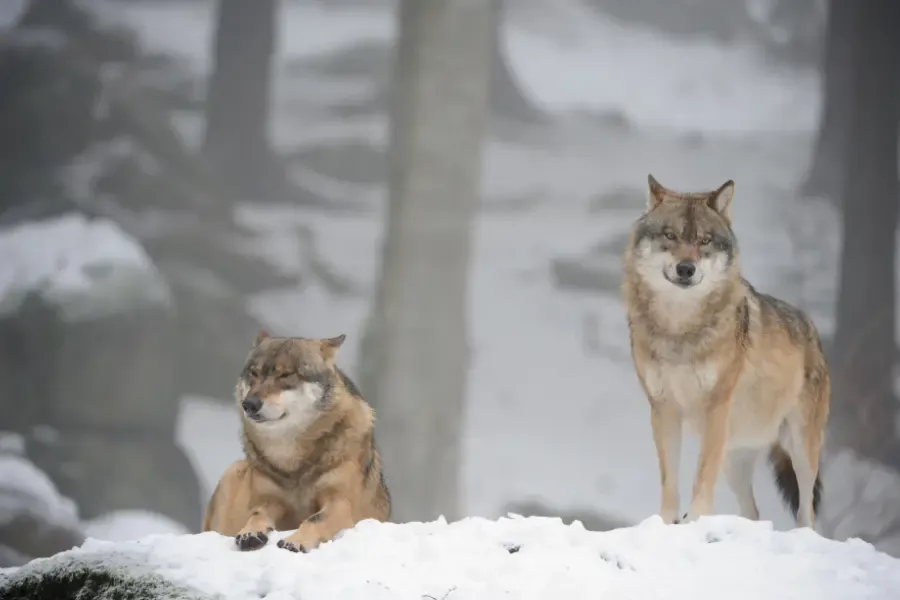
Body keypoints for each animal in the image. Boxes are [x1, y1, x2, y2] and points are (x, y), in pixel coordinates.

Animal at [202, 331, 391, 552]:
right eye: (254, 373)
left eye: (285, 375)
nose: (249, 404)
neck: (290, 459)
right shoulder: (269, 501)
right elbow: (256, 514)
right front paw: (250, 533)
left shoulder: (341, 502)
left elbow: (314, 519)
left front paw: (294, 542)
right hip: (232, 472)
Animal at [621, 175, 830, 528]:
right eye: (670, 235)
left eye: (704, 240)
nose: (686, 268)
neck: (680, 330)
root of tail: (812, 329)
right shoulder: (663, 410)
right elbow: (669, 479)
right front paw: (666, 522)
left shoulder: (716, 407)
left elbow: (702, 473)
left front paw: (695, 519)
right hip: (736, 459)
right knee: (754, 512)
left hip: (800, 449)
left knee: (806, 511)